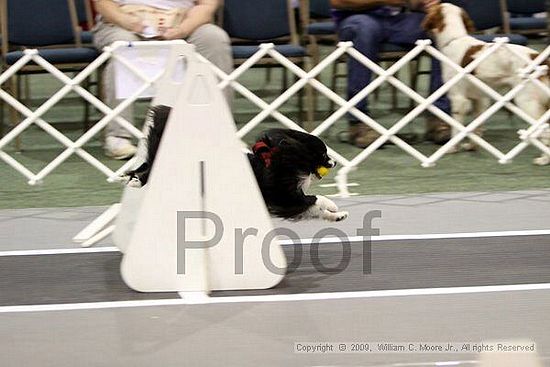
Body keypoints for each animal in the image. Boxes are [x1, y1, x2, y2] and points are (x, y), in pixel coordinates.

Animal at [126, 105, 350, 223]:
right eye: (323, 154)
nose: (335, 162)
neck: (289, 159)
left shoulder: (290, 200)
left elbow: (312, 208)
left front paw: (338, 216)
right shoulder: (284, 196)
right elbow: (315, 199)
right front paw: (333, 206)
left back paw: (131, 179)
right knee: (149, 171)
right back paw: (134, 182)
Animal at [424, 2, 548, 164]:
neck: (454, 39)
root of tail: (540, 59)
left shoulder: (458, 98)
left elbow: (457, 128)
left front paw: (452, 148)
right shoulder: (480, 99)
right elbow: (476, 125)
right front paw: (472, 146)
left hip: (526, 101)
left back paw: (544, 159)